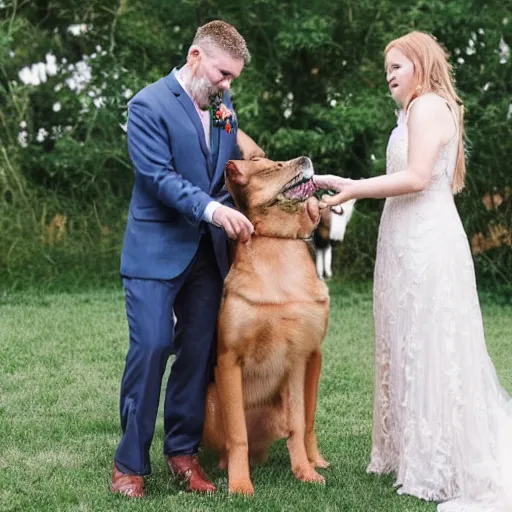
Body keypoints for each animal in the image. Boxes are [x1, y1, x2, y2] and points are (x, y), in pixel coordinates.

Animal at [202, 157, 330, 496]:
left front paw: (305, 472)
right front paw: (239, 484)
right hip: (208, 403)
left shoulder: (301, 357)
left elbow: (300, 424)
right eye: (274, 166)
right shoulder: (228, 359)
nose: (306, 159)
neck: (279, 242)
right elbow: (237, 434)